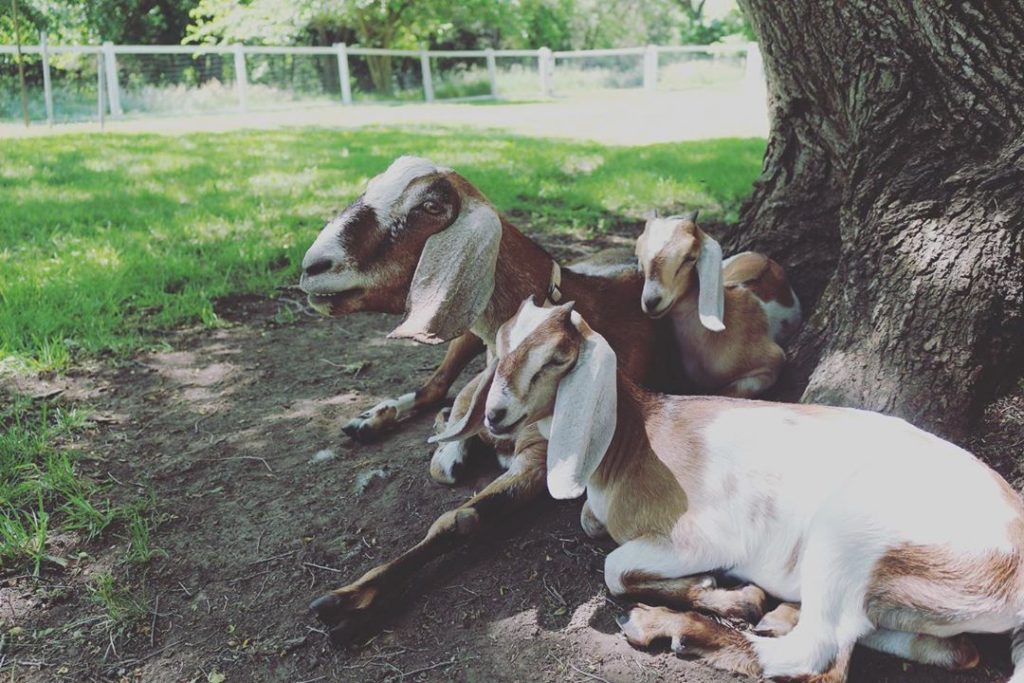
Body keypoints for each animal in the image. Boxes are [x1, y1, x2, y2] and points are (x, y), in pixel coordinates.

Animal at [434, 298, 1024, 683]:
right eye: (497, 348)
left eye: (558, 357)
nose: (496, 414)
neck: (635, 436)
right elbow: (590, 526)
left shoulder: (704, 535)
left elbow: (615, 568)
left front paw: (719, 592)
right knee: (953, 650)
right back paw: (779, 613)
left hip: (851, 535)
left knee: (823, 660)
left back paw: (673, 627)